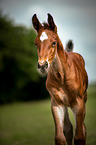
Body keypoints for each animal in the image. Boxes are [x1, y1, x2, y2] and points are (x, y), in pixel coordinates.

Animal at [31, 13, 88, 145]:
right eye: (36, 43)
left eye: (54, 43)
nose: (42, 66)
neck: (62, 76)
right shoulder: (56, 103)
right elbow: (60, 137)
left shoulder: (78, 103)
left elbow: (80, 136)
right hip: (66, 105)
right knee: (68, 128)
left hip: (83, 100)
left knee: (83, 128)